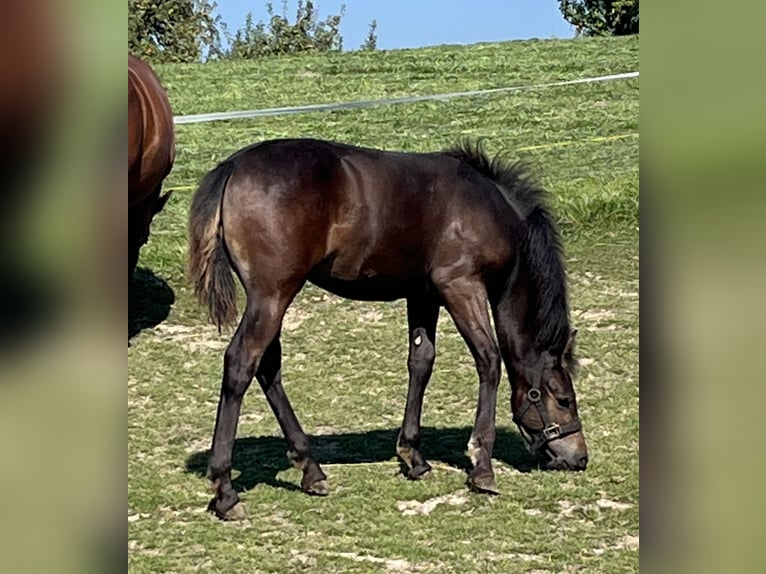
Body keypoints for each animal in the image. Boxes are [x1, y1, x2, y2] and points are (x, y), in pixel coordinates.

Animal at [189, 138, 592, 520]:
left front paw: (413, 456)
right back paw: (226, 491)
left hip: (272, 297)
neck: (487, 208)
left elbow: (422, 361)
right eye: (564, 400)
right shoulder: (461, 285)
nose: (580, 457)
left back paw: (310, 469)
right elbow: (489, 360)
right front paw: (482, 466)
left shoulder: (424, 294)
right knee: (242, 363)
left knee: (268, 367)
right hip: (272, 294)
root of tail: (233, 166)